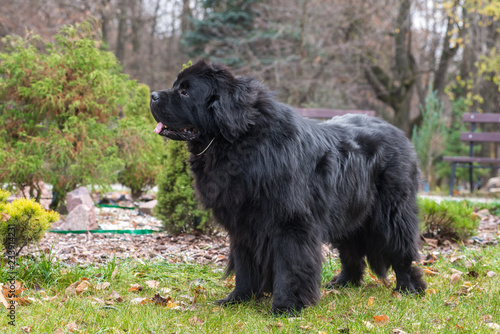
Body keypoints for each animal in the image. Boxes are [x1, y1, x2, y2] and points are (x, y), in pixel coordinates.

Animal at [149, 60, 426, 316]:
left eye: (185, 92)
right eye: (176, 86)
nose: (152, 95)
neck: (239, 142)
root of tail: (398, 132)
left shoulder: (291, 222)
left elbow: (291, 266)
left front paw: (287, 306)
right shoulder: (243, 224)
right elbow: (244, 265)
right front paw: (238, 299)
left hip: (390, 213)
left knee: (402, 249)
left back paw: (409, 288)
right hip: (347, 210)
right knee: (351, 251)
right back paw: (344, 282)